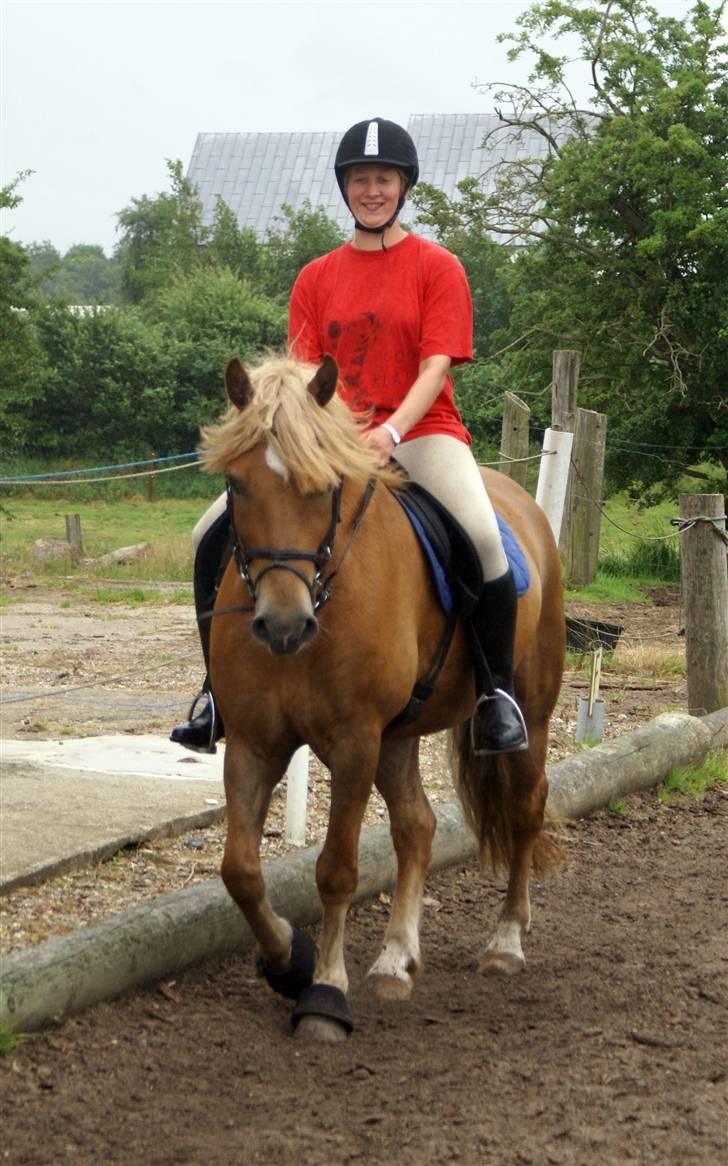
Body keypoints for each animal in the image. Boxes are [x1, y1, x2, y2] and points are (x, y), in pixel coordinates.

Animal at [201, 349, 567, 1044]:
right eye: (237, 484)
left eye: (325, 487)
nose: (283, 625)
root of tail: (523, 507)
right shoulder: (254, 742)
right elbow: (239, 871)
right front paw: (288, 959)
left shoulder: (353, 742)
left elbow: (336, 869)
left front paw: (324, 993)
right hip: (398, 735)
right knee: (417, 826)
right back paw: (396, 960)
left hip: (527, 712)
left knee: (526, 806)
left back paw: (506, 942)